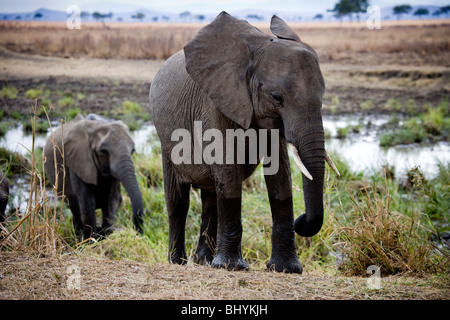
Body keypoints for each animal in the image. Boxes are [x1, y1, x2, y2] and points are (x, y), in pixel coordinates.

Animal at [149, 11, 340, 272]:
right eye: (277, 97)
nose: (301, 221)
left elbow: (280, 175)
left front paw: (286, 269)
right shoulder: (217, 101)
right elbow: (229, 171)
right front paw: (231, 266)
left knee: (210, 197)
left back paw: (204, 262)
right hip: (166, 141)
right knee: (178, 201)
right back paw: (178, 262)